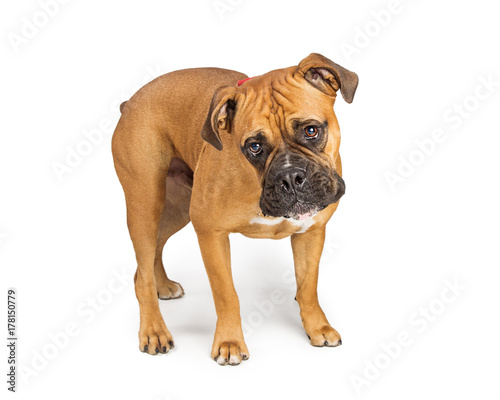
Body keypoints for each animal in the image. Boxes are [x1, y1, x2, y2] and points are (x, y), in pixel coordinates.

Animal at [111, 53, 358, 366]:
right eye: (254, 147)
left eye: (311, 130)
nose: (290, 176)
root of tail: (130, 102)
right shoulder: (211, 234)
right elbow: (227, 295)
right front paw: (229, 342)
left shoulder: (311, 231)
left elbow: (307, 286)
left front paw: (317, 327)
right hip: (146, 204)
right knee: (142, 273)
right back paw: (154, 329)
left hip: (177, 210)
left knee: (153, 250)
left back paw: (163, 285)